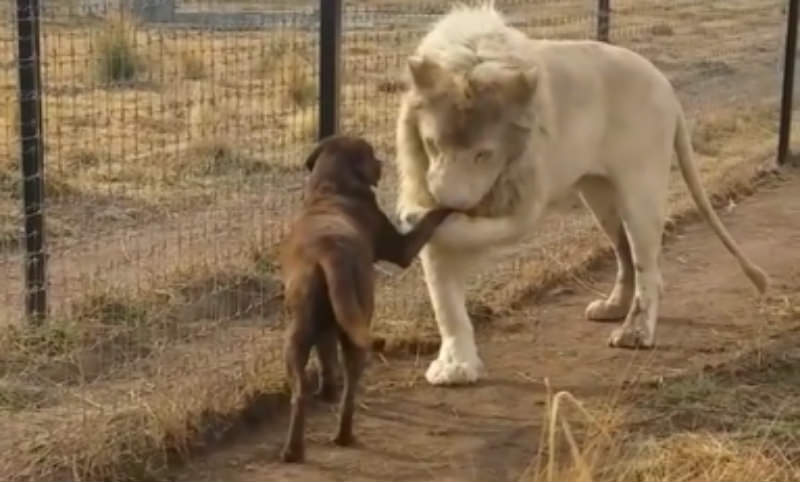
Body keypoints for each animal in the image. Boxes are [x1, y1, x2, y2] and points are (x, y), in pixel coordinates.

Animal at [278, 134, 454, 462]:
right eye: (371, 153)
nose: (382, 162)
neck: (331, 187)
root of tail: (329, 253)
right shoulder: (401, 249)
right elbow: (430, 218)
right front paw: (446, 204)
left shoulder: (325, 327)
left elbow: (326, 358)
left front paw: (327, 391)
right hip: (358, 324)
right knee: (351, 387)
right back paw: (344, 435)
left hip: (298, 334)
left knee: (300, 391)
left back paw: (293, 449)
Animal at [396, 1, 768, 386]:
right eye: (431, 144)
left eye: (483, 154)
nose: (445, 201)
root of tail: (664, 84)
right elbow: (445, 300)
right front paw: (456, 366)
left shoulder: (526, 201)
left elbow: (469, 231)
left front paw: (417, 220)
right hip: (600, 197)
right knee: (625, 253)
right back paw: (613, 308)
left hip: (641, 192)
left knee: (646, 265)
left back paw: (636, 333)